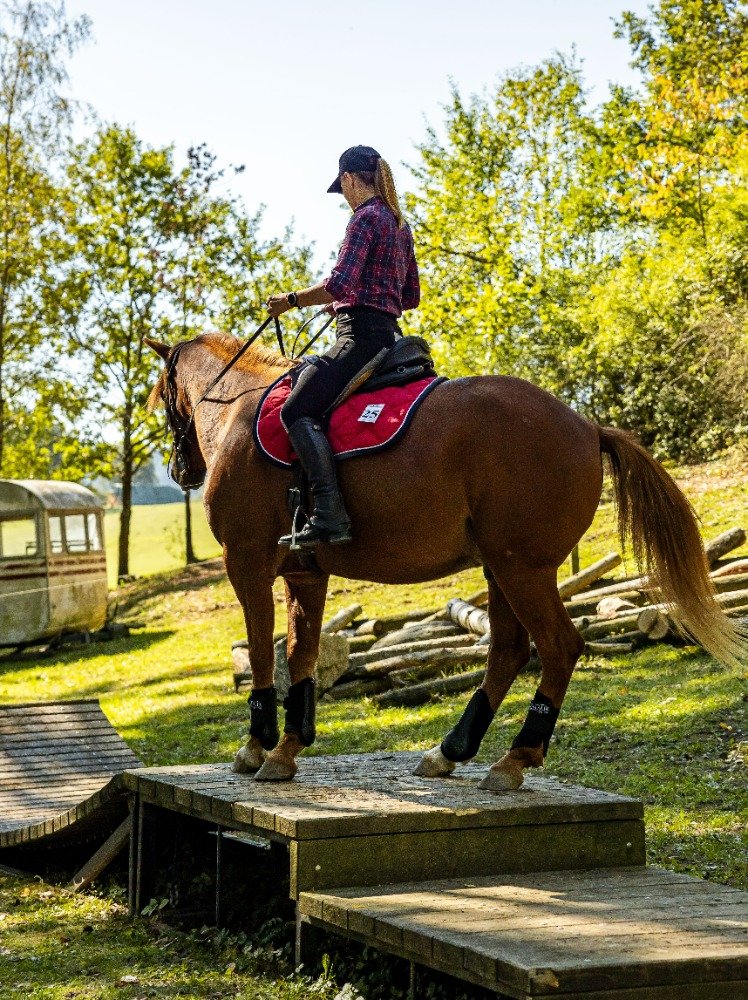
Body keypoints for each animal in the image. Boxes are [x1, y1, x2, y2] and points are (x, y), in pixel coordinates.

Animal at [148, 336, 748, 788]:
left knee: (558, 647)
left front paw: (258, 746)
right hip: (501, 569)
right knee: (509, 650)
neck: (238, 410)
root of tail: (586, 426)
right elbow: (300, 655)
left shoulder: (247, 564)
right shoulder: (305, 573)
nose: (180, 470)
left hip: (522, 570)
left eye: (163, 398)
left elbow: (260, 650)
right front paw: (289, 749)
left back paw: (514, 758)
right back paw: (452, 750)